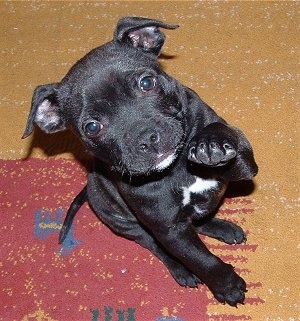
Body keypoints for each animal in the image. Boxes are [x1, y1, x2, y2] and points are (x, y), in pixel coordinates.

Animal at [23, 16, 258, 304]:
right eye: (92, 127)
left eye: (147, 83)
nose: (146, 138)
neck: (175, 168)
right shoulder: (169, 227)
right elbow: (200, 258)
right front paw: (226, 285)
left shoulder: (245, 166)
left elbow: (226, 138)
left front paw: (210, 144)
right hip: (125, 223)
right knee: (157, 245)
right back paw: (182, 269)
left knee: (198, 221)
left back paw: (224, 228)